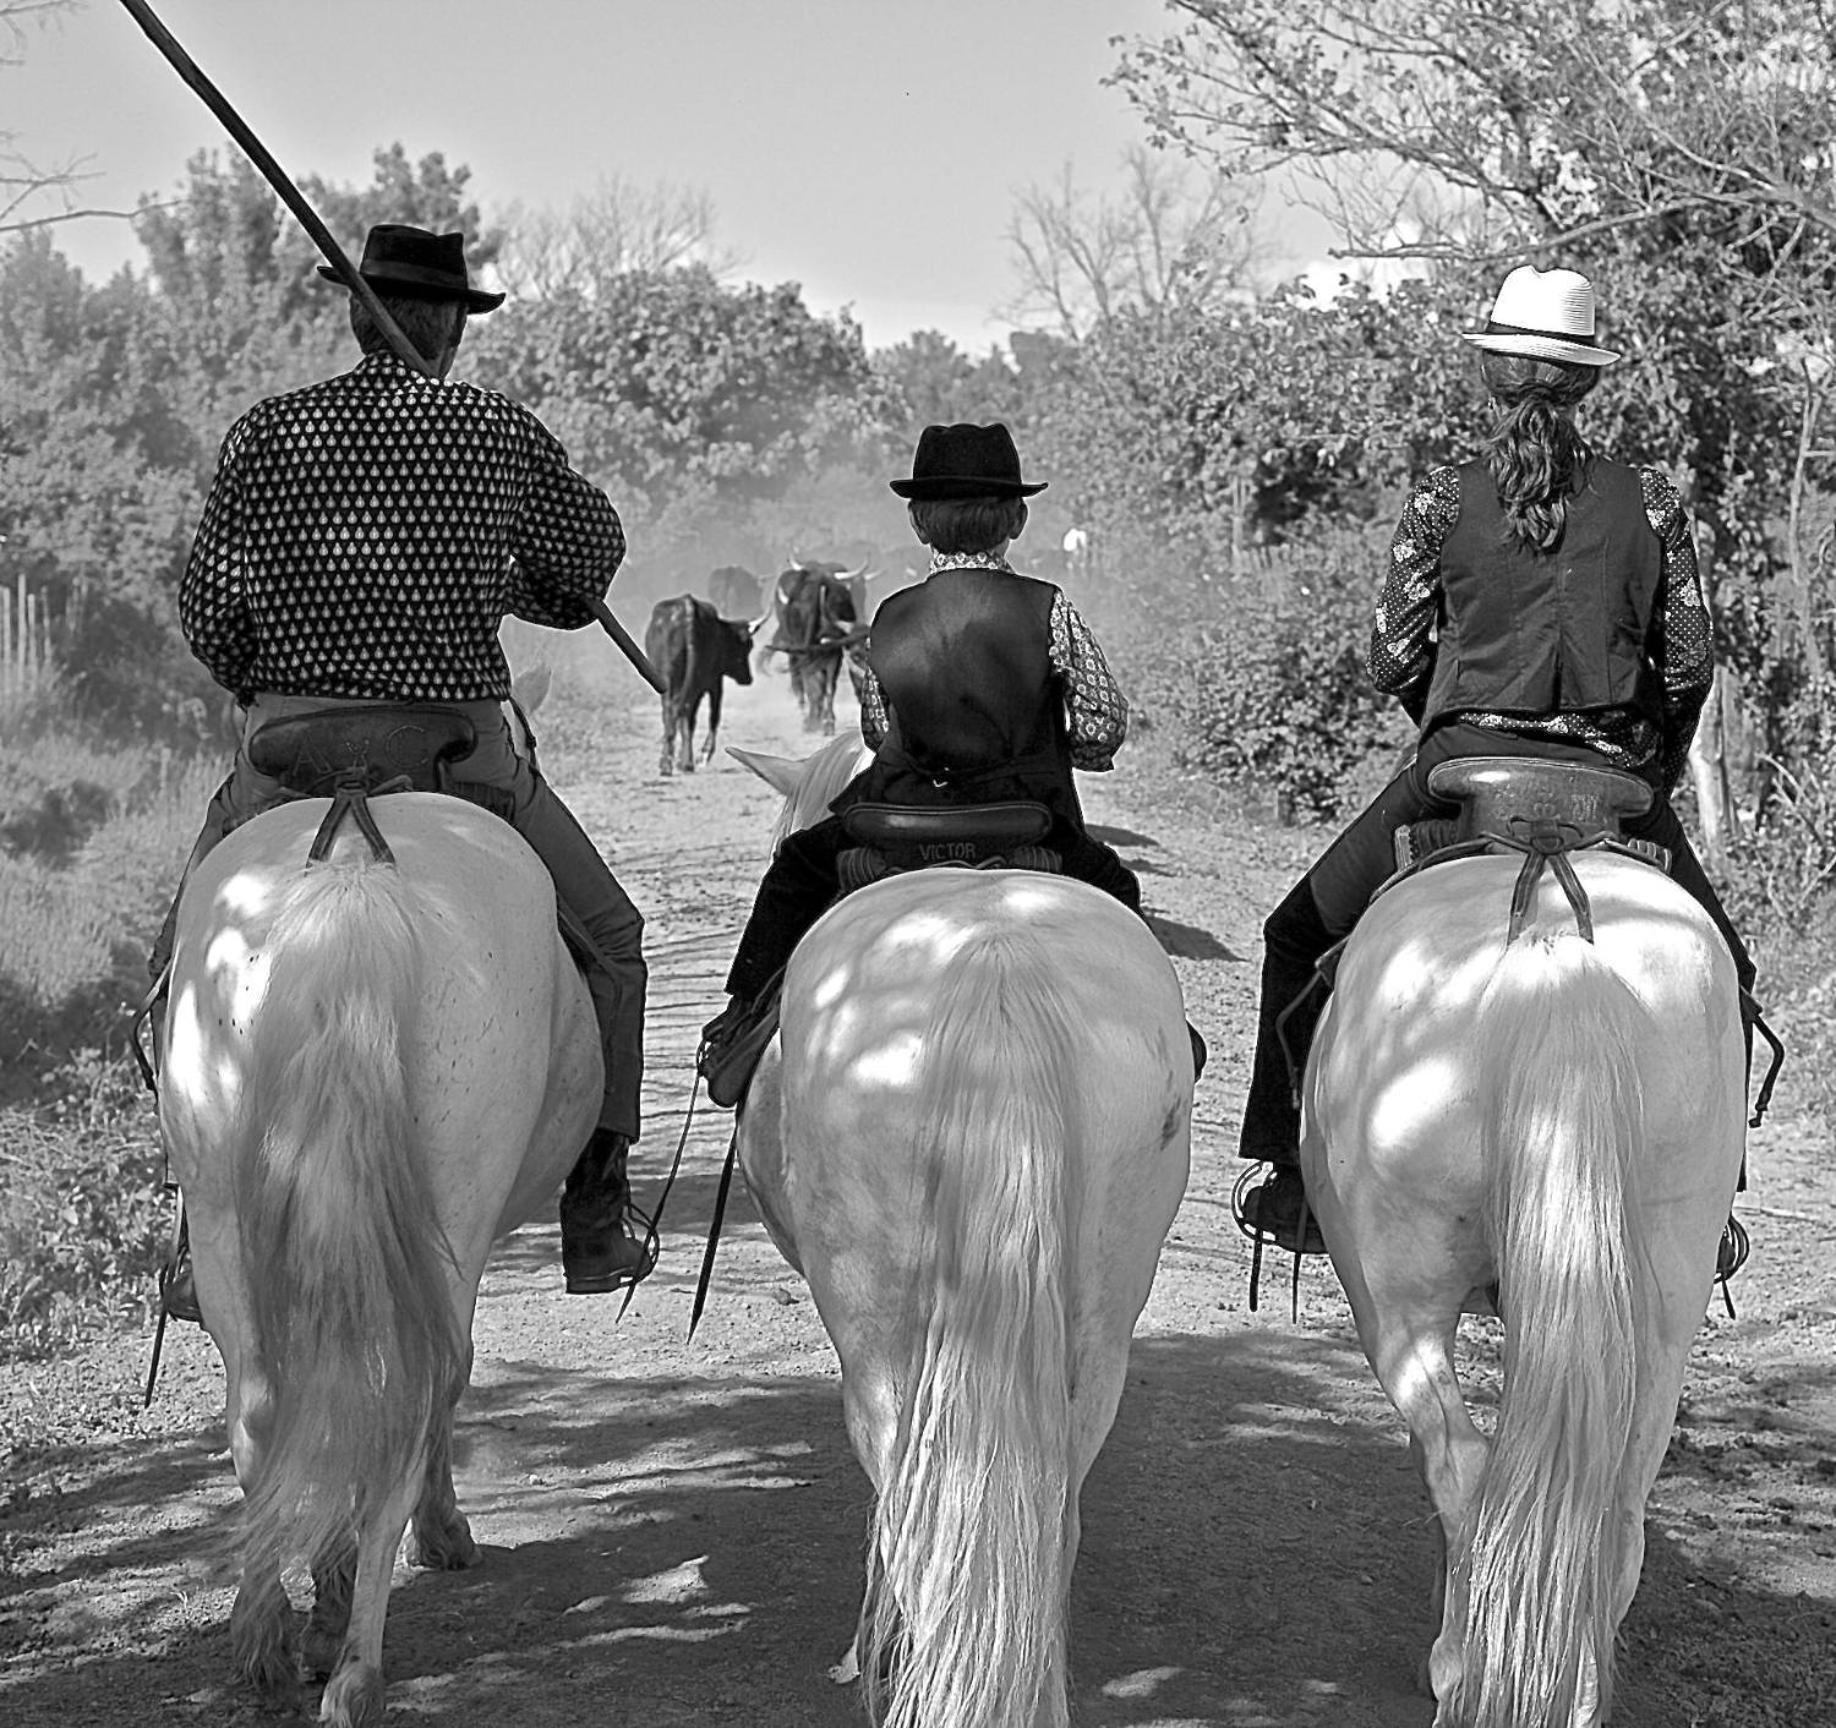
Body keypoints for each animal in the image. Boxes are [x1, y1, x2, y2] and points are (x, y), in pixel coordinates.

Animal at [158, 796, 598, 1726]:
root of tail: (352, 880)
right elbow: (450, 1379)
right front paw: (438, 1536)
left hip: (218, 1219)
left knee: (260, 1414)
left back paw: (268, 1640)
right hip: (452, 1216)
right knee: (409, 1399)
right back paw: (357, 1669)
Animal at [642, 598, 756, 774]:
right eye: (746, 646)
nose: (748, 678)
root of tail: (687, 608)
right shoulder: (715, 683)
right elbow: (710, 717)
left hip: (672, 679)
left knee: (674, 711)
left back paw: (669, 763)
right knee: (686, 712)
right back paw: (683, 762)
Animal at [1299, 844, 1740, 1726]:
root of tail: (1556, 949)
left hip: (1395, 1305)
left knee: (1465, 1470)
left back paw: (1459, 1669)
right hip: (1668, 1300)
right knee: (1618, 1504)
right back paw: (1574, 1691)